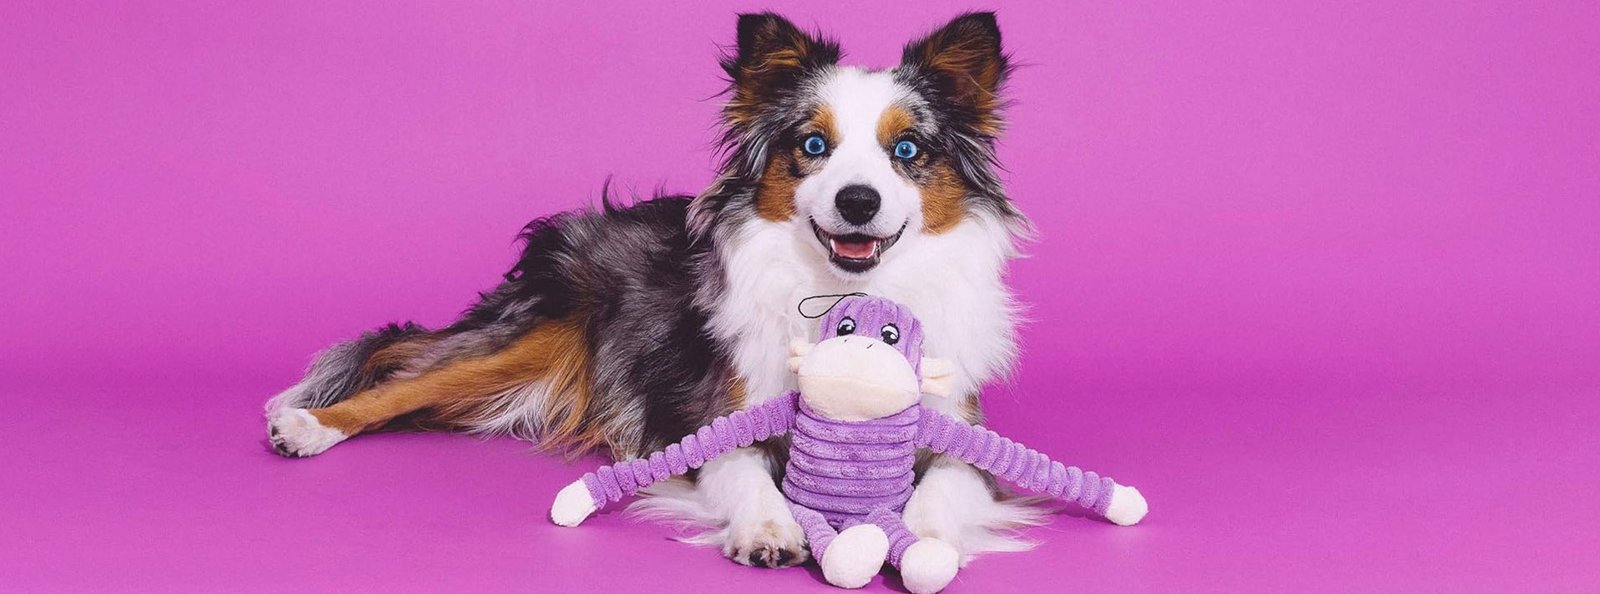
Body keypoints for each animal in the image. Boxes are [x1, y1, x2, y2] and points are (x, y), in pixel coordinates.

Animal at [262, 11, 1036, 569]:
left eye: (907, 151)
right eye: (813, 146)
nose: (857, 200)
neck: (846, 291)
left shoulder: (960, 431)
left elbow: (944, 486)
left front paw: (925, 540)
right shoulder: (714, 416)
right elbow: (745, 473)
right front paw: (767, 528)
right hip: (531, 340)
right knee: (400, 381)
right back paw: (307, 426)